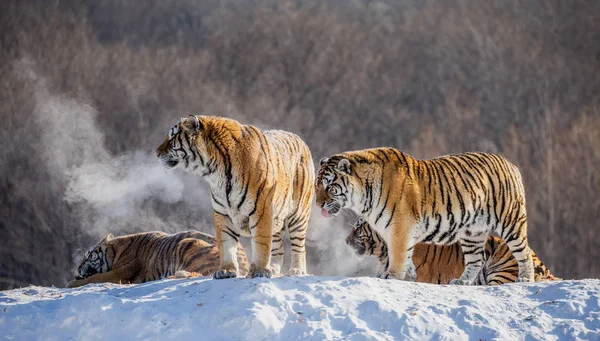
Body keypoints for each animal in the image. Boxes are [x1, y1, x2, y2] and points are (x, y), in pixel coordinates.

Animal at [63, 228, 246, 286]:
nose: (77, 268)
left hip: (187, 242)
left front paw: (70, 283)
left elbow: (93, 278)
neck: (116, 250)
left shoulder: (119, 274)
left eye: (88, 256)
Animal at [155, 115, 314, 278]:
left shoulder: (261, 211)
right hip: (277, 218)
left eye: (172, 137)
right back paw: (274, 269)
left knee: (299, 247)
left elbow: (261, 244)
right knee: (277, 248)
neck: (214, 170)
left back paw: (297, 270)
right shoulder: (222, 213)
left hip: (298, 215)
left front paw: (259, 271)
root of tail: (298, 138)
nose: (156, 153)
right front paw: (226, 271)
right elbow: (226, 245)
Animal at [316, 149, 536, 284]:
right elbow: (406, 256)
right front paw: (408, 274)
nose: (318, 204)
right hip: (472, 232)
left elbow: (398, 254)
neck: (364, 197)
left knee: (523, 252)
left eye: (329, 186)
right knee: (476, 259)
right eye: (317, 186)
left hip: (510, 221)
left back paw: (525, 279)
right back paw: (462, 281)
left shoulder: (400, 227)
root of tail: (510, 164)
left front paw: (392, 275)